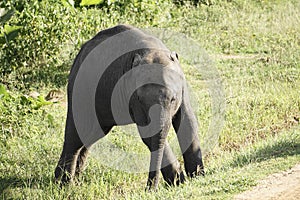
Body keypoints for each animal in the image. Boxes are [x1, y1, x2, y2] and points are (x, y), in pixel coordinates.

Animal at [54, 24, 204, 190]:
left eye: (173, 99)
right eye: (140, 99)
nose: (149, 189)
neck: (153, 50)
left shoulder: (183, 88)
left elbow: (188, 123)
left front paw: (196, 177)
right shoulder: (132, 97)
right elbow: (147, 133)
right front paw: (178, 180)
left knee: (91, 135)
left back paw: (74, 180)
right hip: (80, 90)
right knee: (76, 135)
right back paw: (64, 184)